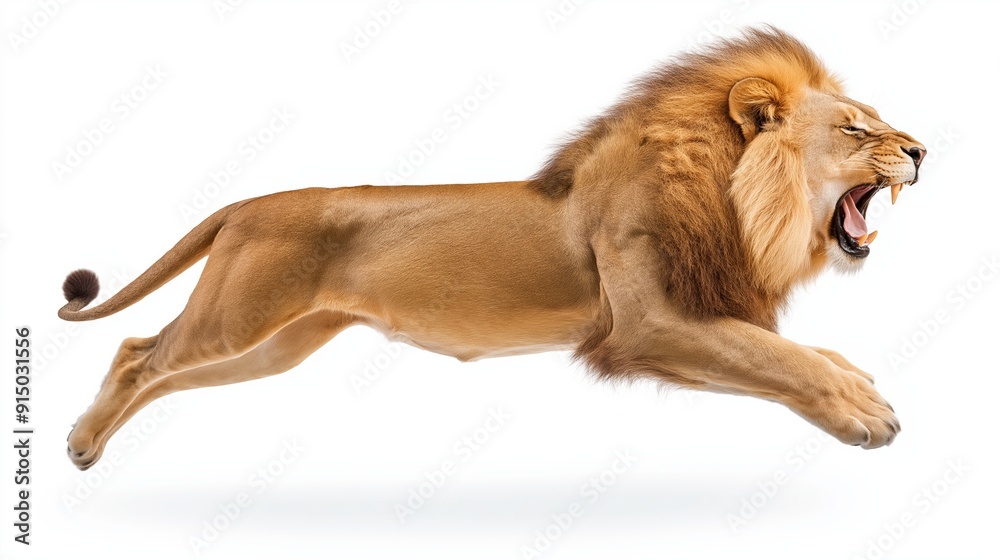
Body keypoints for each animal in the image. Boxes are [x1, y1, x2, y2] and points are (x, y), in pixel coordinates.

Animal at [59, 28, 925, 470]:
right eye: (857, 128)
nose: (922, 150)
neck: (731, 198)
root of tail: (242, 204)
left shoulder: (677, 327)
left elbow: (784, 356)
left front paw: (856, 385)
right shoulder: (644, 326)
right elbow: (777, 357)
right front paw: (866, 412)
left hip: (274, 344)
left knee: (159, 367)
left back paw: (91, 443)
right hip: (239, 318)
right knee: (138, 354)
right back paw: (79, 442)